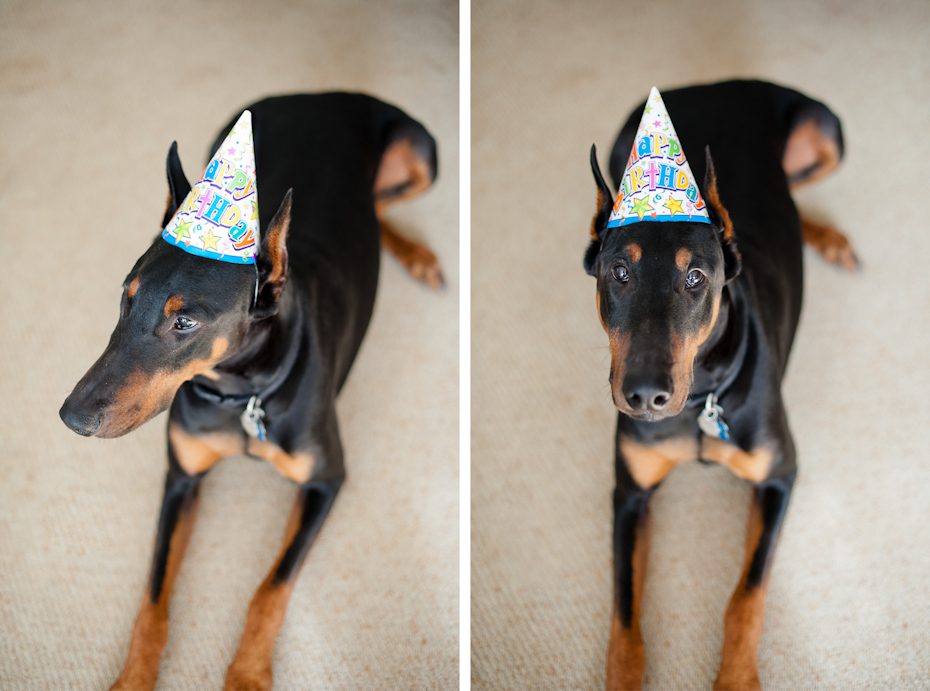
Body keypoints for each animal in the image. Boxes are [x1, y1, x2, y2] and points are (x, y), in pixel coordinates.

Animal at [59, 93, 442, 691]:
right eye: (126, 296)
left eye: (185, 323)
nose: (71, 417)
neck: (240, 394)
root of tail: (323, 95)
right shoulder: (182, 476)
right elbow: (153, 597)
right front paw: (134, 678)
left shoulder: (325, 480)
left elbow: (270, 590)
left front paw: (247, 674)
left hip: (422, 153)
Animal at [588, 79, 856, 688]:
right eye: (619, 272)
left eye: (695, 277)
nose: (644, 396)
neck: (701, 402)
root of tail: (714, 85)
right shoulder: (630, 493)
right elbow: (623, 613)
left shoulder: (778, 475)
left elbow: (746, 596)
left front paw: (735, 677)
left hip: (826, 132)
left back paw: (829, 238)